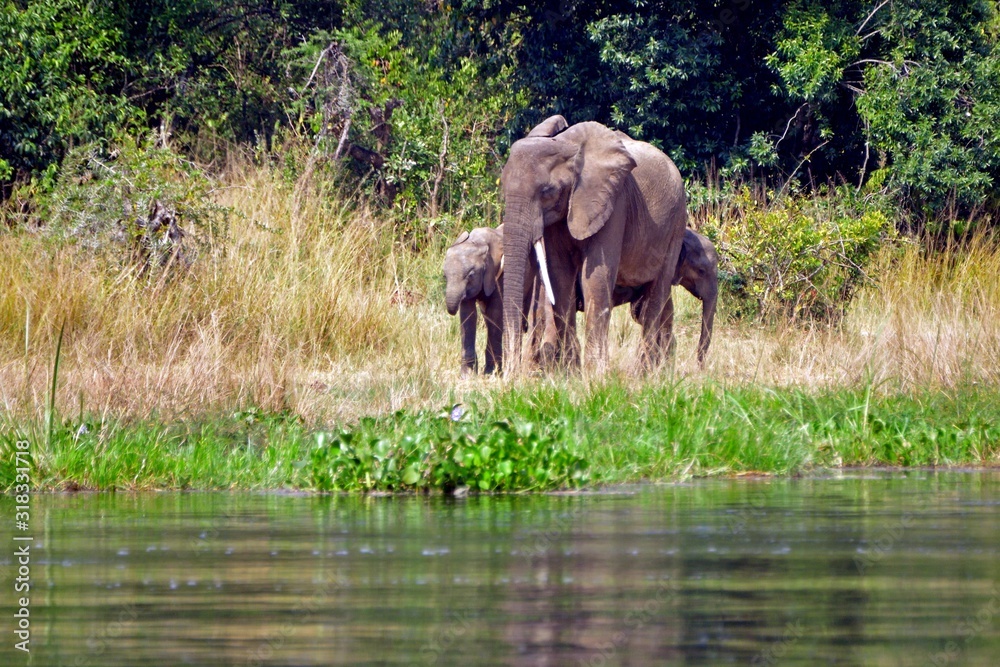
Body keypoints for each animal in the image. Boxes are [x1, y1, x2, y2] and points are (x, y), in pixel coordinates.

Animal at [500, 116, 689, 375]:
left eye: (547, 191)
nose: (510, 373)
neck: (566, 145)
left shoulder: (614, 203)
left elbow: (596, 276)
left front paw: (596, 374)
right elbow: (559, 276)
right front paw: (570, 372)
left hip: (676, 222)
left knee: (657, 292)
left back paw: (646, 372)